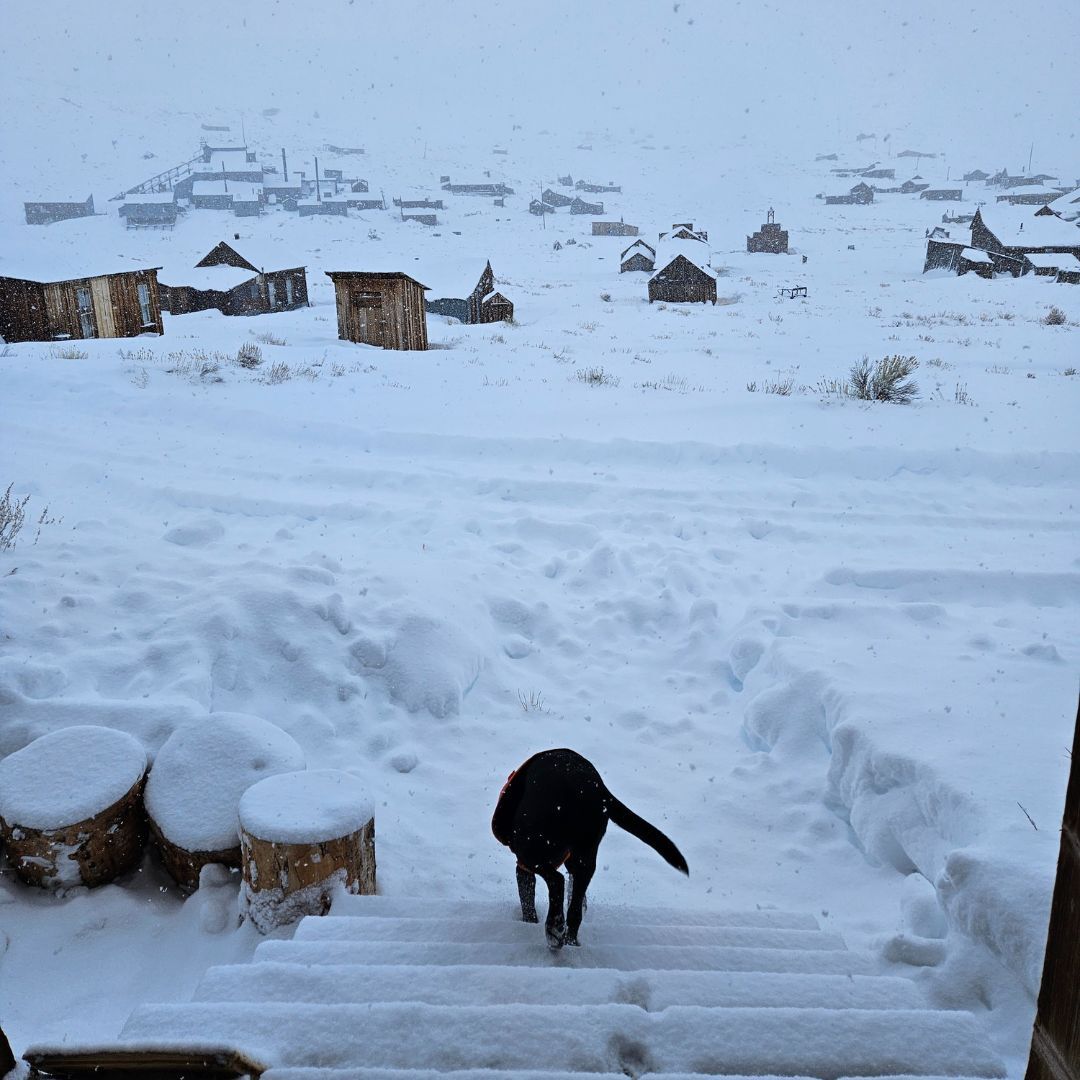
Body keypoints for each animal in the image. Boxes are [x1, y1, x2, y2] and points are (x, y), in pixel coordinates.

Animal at [492, 747, 686, 950]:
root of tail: (588, 788)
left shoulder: (523, 867)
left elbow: (527, 901)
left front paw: (529, 923)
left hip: (530, 849)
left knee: (557, 880)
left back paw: (554, 930)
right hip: (585, 855)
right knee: (574, 910)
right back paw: (569, 939)